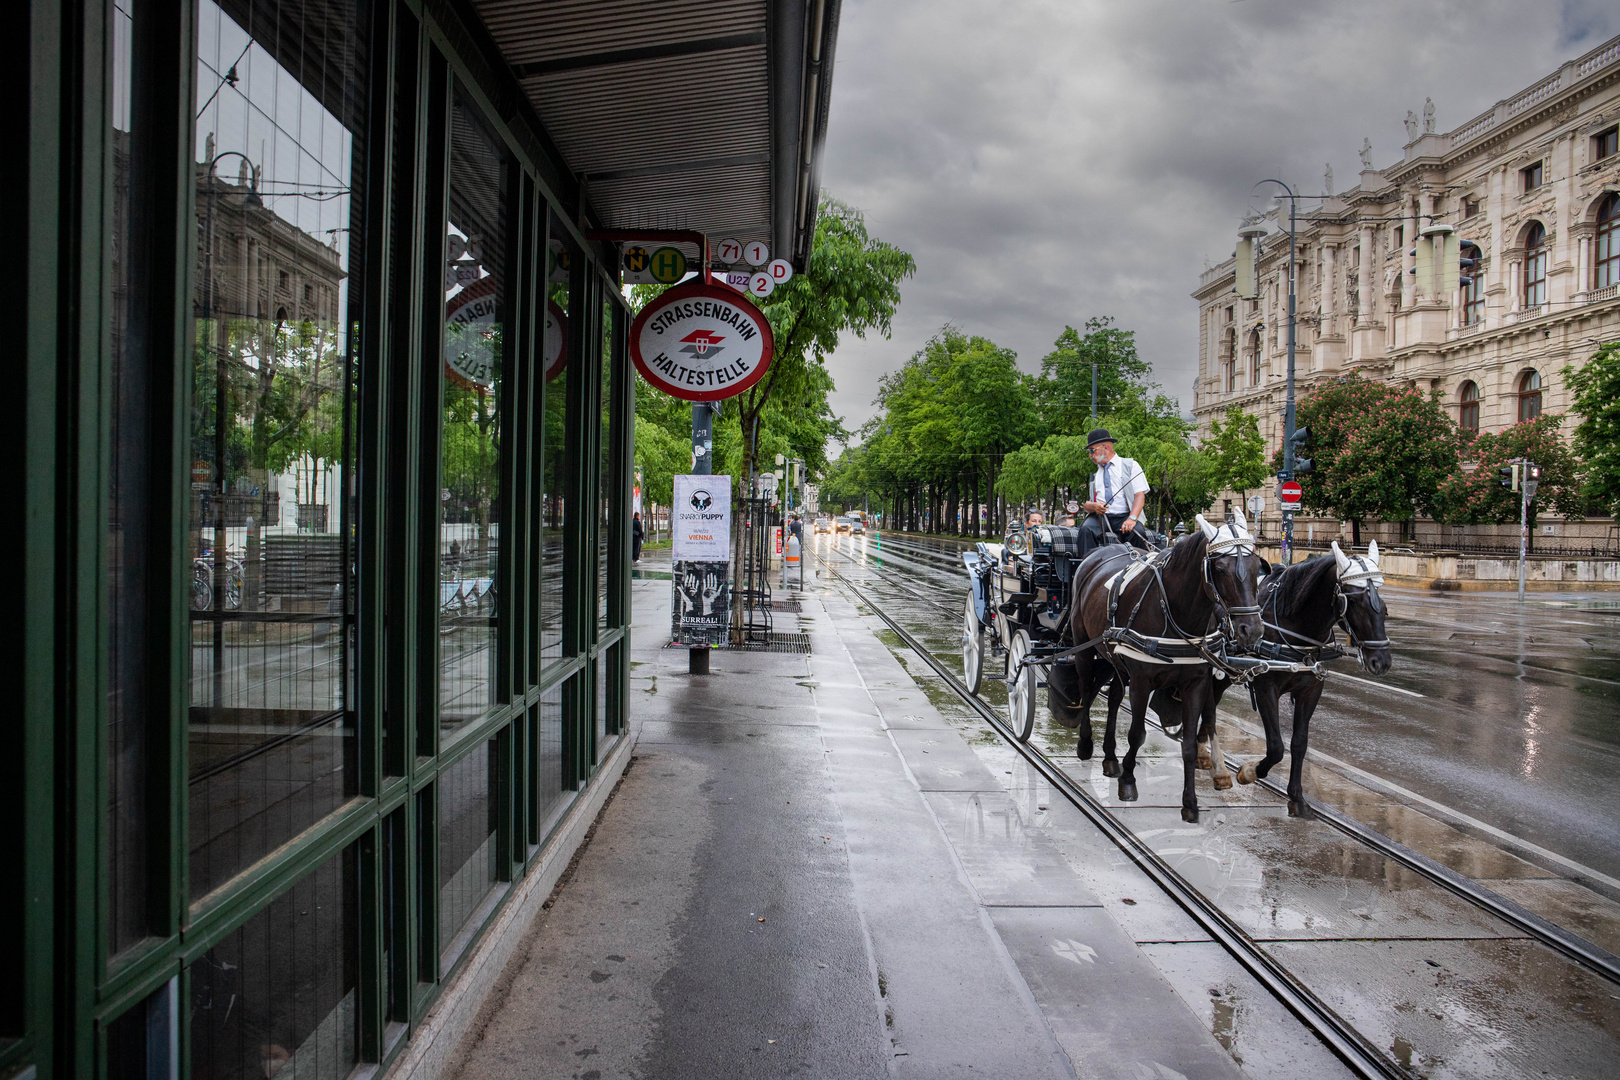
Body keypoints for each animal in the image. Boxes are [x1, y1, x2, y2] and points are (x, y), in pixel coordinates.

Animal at [1069, 511, 1270, 822]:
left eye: (1255, 566)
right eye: (1219, 568)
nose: (1252, 630)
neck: (1175, 610)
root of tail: (1099, 553)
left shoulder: (1195, 684)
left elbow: (1188, 745)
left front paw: (1190, 803)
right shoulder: (1142, 681)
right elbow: (1137, 734)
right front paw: (1128, 782)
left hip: (1116, 661)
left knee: (1113, 698)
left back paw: (1110, 758)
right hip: (1084, 648)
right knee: (1085, 689)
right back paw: (1086, 744)